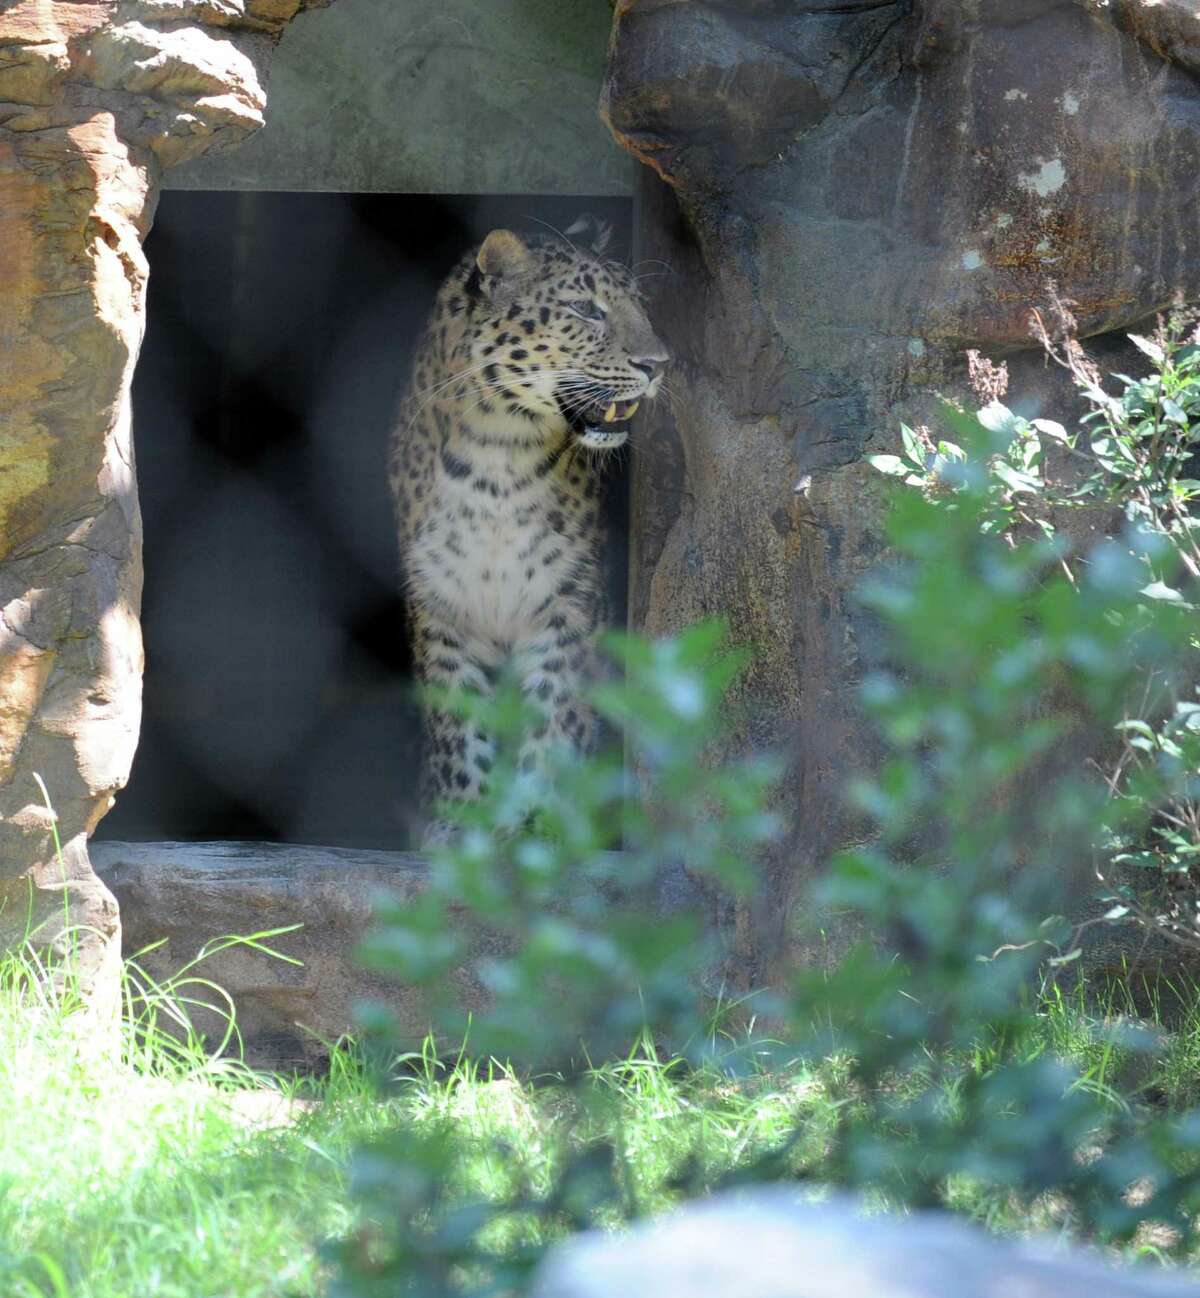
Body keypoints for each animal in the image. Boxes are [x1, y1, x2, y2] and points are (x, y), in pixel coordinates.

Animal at [388, 219, 669, 839]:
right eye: (586, 309)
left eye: (641, 306)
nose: (658, 365)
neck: (499, 456)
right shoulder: (441, 604)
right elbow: (456, 716)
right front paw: (462, 821)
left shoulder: (570, 602)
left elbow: (555, 714)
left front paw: (540, 825)